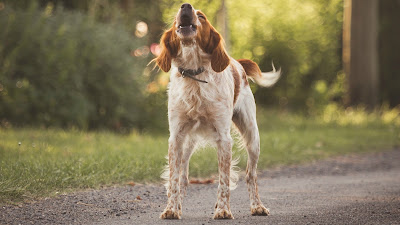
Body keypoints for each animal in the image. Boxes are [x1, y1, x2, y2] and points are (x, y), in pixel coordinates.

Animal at [153, 2, 282, 219]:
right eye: (178, 11)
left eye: (202, 16)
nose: (185, 6)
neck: (195, 75)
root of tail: (239, 64)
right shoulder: (176, 137)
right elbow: (174, 178)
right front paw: (170, 209)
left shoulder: (224, 138)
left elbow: (223, 180)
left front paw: (223, 210)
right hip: (187, 143)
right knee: (183, 177)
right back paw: (178, 205)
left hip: (252, 136)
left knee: (251, 175)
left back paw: (257, 206)